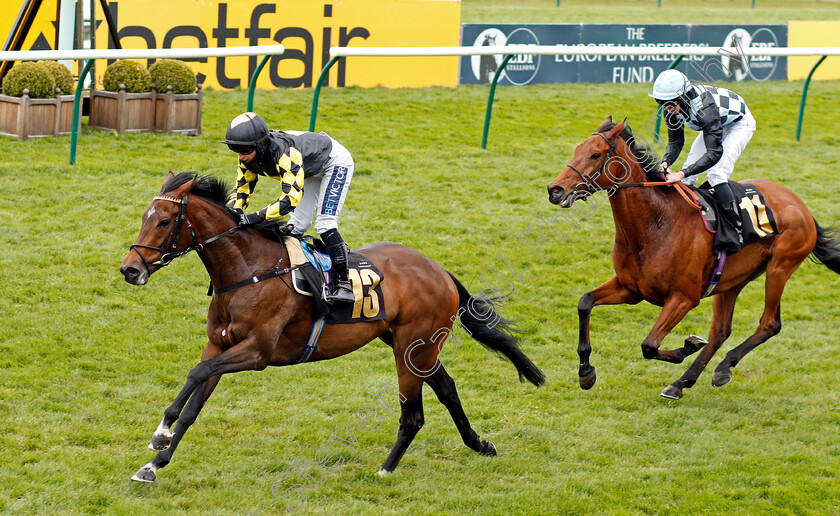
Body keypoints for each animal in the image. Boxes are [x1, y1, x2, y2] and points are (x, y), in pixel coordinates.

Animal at [121, 171, 548, 482]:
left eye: (163, 221)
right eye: (143, 218)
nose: (130, 269)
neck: (247, 271)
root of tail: (439, 270)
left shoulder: (256, 352)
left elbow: (197, 374)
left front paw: (160, 435)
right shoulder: (220, 345)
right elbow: (195, 400)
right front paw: (156, 462)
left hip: (413, 347)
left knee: (413, 413)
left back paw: (386, 468)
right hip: (415, 346)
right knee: (447, 389)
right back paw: (480, 444)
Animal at [544, 117, 840, 400]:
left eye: (595, 154)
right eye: (577, 149)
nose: (555, 189)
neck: (654, 225)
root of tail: (802, 206)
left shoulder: (684, 297)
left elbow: (649, 345)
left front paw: (686, 347)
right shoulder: (631, 289)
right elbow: (585, 303)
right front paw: (585, 371)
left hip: (780, 267)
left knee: (769, 324)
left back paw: (722, 367)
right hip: (731, 281)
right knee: (720, 331)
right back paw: (683, 382)